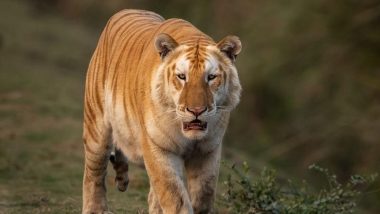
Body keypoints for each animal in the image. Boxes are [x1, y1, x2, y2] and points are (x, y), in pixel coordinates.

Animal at [83, 8, 242, 214]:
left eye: (211, 77)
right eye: (182, 77)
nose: (196, 110)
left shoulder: (208, 150)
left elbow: (203, 195)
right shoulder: (158, 147)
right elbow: (174, 196)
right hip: (96, 127)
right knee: (94, 172)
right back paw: (96, 209)